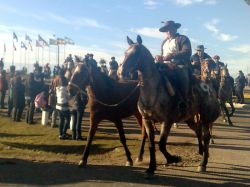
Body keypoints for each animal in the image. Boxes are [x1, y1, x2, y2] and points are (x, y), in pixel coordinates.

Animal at [120, 35, 220, 175]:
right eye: (125, 53)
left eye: (135, 53)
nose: (121, 72)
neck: (154, 90)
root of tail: (210, 88)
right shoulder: (147, 120)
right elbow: (152, 143)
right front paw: (151, 168)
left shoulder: (166, 121)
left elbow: (161, 144)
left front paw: (173, 159)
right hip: (190, 118)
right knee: (197, 130)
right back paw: (201, 151)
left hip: (205, 117)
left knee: (206, 137)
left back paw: (203, 164)